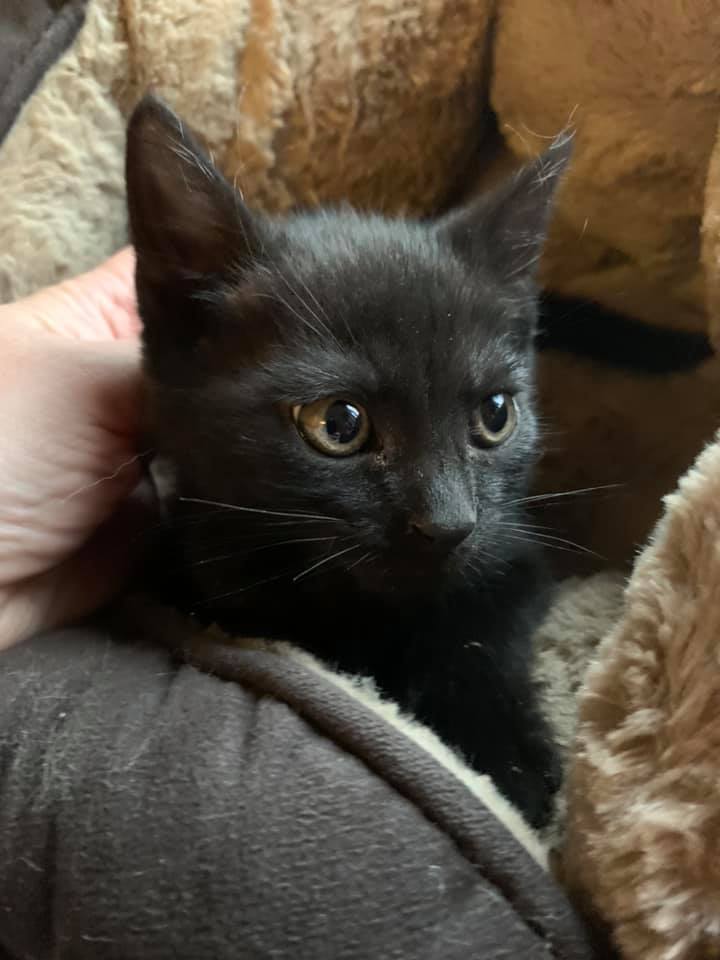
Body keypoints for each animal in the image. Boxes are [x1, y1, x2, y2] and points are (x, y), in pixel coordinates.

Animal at [126, 94, 571, 829]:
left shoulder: (515, 557)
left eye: (495, 414)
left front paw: (508, 759)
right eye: (338, 423)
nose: (448, 523)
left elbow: (487, 629)